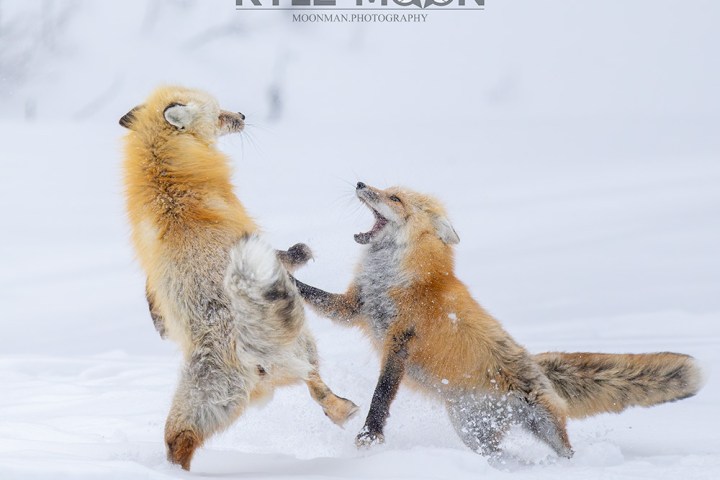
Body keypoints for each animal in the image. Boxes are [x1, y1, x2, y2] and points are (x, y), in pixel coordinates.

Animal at [119, 86, 357, 470]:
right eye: (219, 113)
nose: (243, 116)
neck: (167, 178)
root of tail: (246, 348)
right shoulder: (248, 234)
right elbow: (284, 258)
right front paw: (301, 253)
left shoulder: (150, 268)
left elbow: (151, 298)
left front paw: (159, 326)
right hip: (302, 342)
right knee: (314, 381)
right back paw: (343, 409)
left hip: (197, 407)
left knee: (178, 442)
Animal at [289, 181, 704, 459]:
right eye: (385, 189)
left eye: (395, 198)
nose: (361, 183)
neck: (397, 278)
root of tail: (535, 363)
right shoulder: (353, 308)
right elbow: (310, 293)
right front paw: (283, 273)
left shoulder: (400, 340)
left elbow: (382, 394)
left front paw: (370, 436)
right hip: (473, 432)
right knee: (498, 454)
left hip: (542, 422)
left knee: (565, 450)